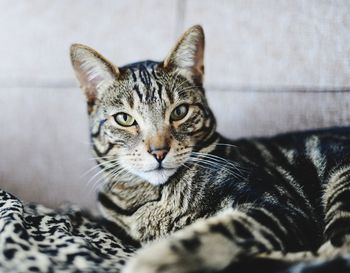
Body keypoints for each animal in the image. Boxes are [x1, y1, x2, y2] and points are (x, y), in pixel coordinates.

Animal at [70, 25, 350, 272]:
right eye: (124, 119)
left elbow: (220, 230)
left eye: (180, 112)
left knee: (336, 251)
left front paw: (151, 260)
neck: (154, 197)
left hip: (341, 180)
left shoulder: (278, 206)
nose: (158, 151)